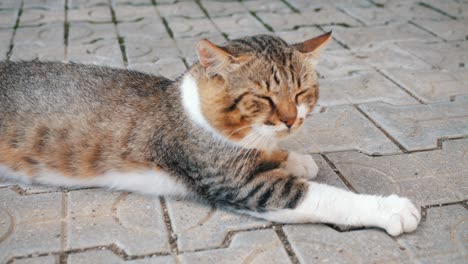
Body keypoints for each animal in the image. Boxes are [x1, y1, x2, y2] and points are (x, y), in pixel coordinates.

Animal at [0, 32, 420, 236]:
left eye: (302, 93)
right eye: (263, 98)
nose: (290, 121)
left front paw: (294, 157)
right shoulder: (243, 186)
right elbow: (323, 197)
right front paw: (390, 209)